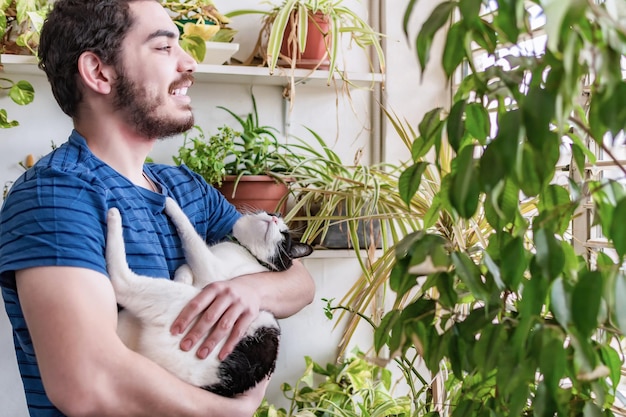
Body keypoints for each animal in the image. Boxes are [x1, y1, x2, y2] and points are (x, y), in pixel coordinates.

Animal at [105, 197, 314, 394]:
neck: (247, 251)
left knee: (122, 282)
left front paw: (170, 202)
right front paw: (183, 277)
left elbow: (190, 235)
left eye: (284, 235)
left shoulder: (211, 270)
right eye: (272, 214)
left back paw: (114, 217)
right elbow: (184, 267)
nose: (273, 217)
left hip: (183, 302)